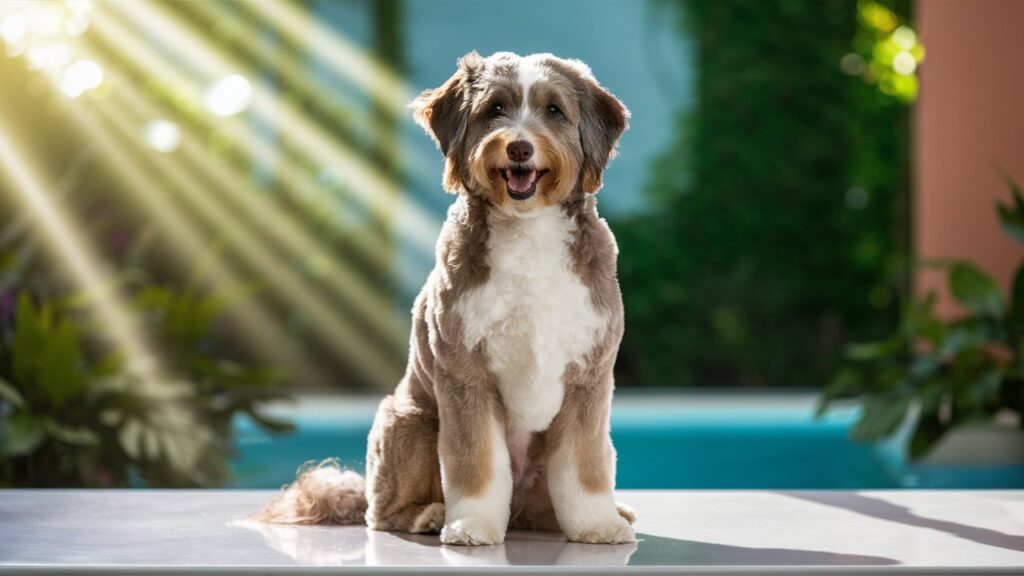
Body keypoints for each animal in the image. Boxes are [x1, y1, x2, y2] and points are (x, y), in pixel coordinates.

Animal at [256, 51, 630, 545]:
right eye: (494, 108)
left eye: (554, 110)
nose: (519, 148)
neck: (528, 230)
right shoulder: (464, 374)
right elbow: (475, 462)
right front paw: (470, 526)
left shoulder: (589, 377)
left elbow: (584, 465)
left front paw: (598, 525)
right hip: (408, 422)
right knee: (382, 511)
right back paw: (428, 515)